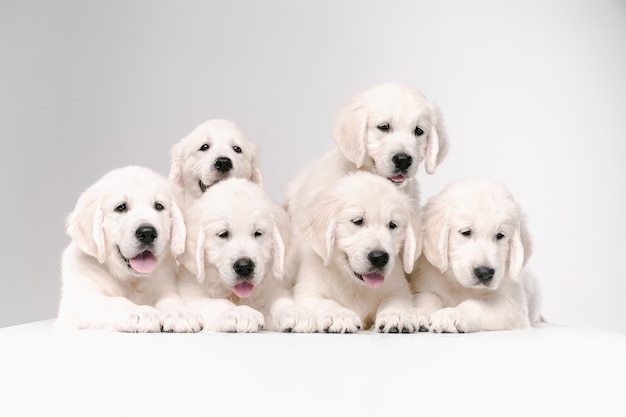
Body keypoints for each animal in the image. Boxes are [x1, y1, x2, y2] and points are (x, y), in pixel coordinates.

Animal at [58, 166, 200, 332]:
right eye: (121, 207)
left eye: (159, 206)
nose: (147, 233)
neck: (130, 280)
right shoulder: (79, 302)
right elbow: (115, 301)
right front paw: (140, 312)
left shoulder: (165, 283)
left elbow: (169, 298)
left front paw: (180, 313)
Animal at [177, 178, 314, 332]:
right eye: (223, 234)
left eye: (258, 233)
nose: (244, 267)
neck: (235, 295)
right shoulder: (192, 293)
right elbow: (218, 303)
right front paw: (239, 313)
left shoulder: (271, 287)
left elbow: (279, 299)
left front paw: (296, 312)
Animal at [292, 171, 420, 334]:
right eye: (358, 221)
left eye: (392, 225)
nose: (379, 258)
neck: (355, 285)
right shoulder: (308, 293)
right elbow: (326, 302)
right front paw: (340, 315)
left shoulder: (399, 289)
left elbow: (395, 301)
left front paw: (396, 315)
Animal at [410, 177, 540, 334]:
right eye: (466, 232)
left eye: (500, 236)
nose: (485, 273)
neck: (462, 286)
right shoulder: (424, 283)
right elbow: (428, 298)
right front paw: (419, 313)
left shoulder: (512, 304)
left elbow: (475, 304)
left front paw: (452, 314)